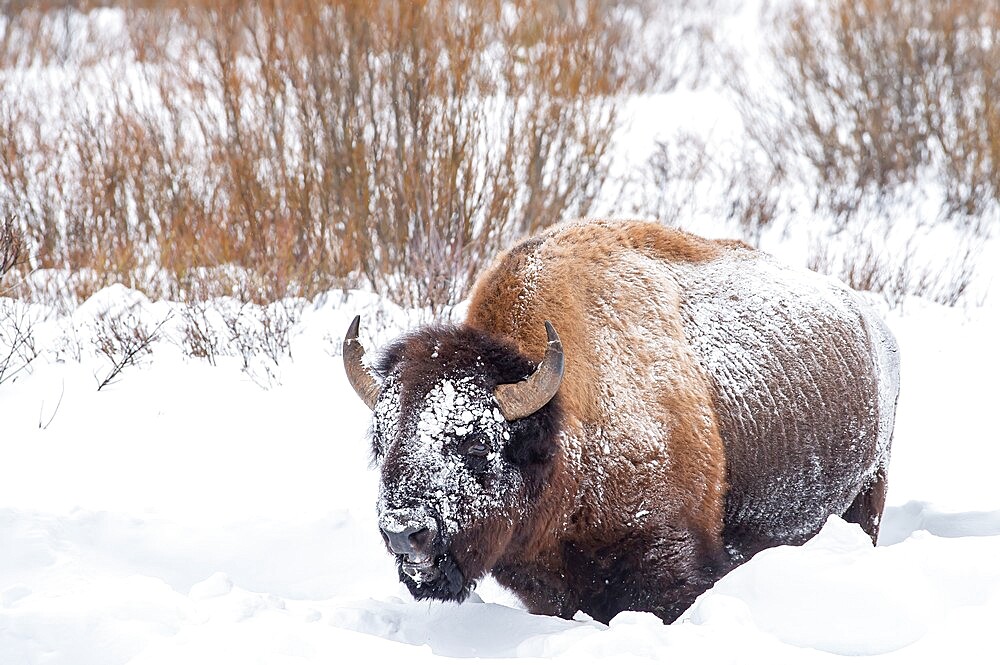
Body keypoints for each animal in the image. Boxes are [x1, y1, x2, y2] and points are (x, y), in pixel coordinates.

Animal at [342, 218, 900, 624]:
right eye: (383, 444)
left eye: (477, 444)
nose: (404, 533)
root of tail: (871, 320)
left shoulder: (671, 567)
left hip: (868, 495)